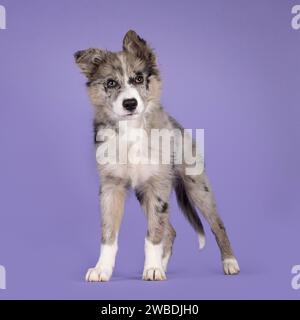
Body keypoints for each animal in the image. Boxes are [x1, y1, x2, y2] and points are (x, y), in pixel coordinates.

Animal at [74, 29, 239, 280]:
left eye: (139, 79)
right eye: (111, 83)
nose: (130, 103)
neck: (131, 130)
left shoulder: (157, 183)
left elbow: (153, 233)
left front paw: (151, 269)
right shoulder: (112, 185)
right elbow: (109, 234)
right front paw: (102, 269)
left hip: (197, 186)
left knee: (217, 225)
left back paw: (229, 262)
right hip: (143, 194)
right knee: (170, 231)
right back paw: (161, 264)